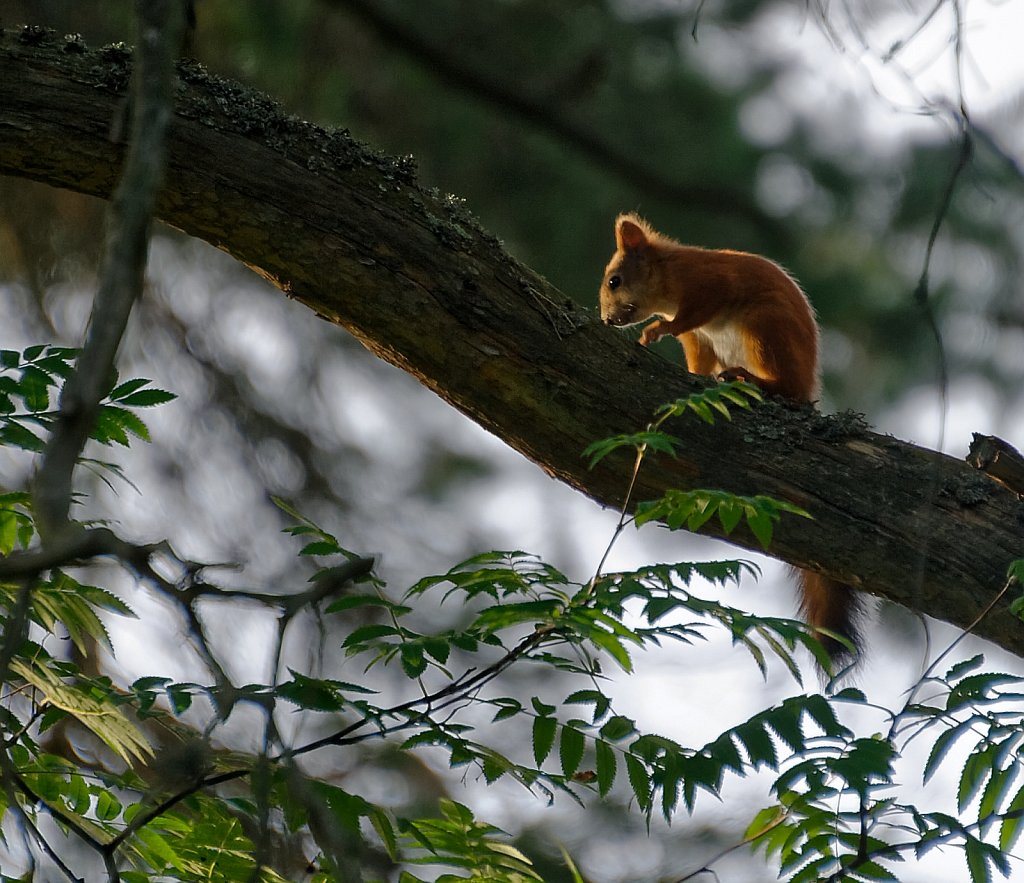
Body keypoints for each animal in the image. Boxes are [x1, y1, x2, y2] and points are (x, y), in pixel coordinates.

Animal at [598, 214, 860, 671]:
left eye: (615, 281)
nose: (607, 320)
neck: (669, 274)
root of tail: (809, 383)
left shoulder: (709, 286)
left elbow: (690, 315)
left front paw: (656, 330)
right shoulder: (699, 340)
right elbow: (696, 356)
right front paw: (690, 371)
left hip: (763, 329)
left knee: (785, 387)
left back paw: (752, 379)